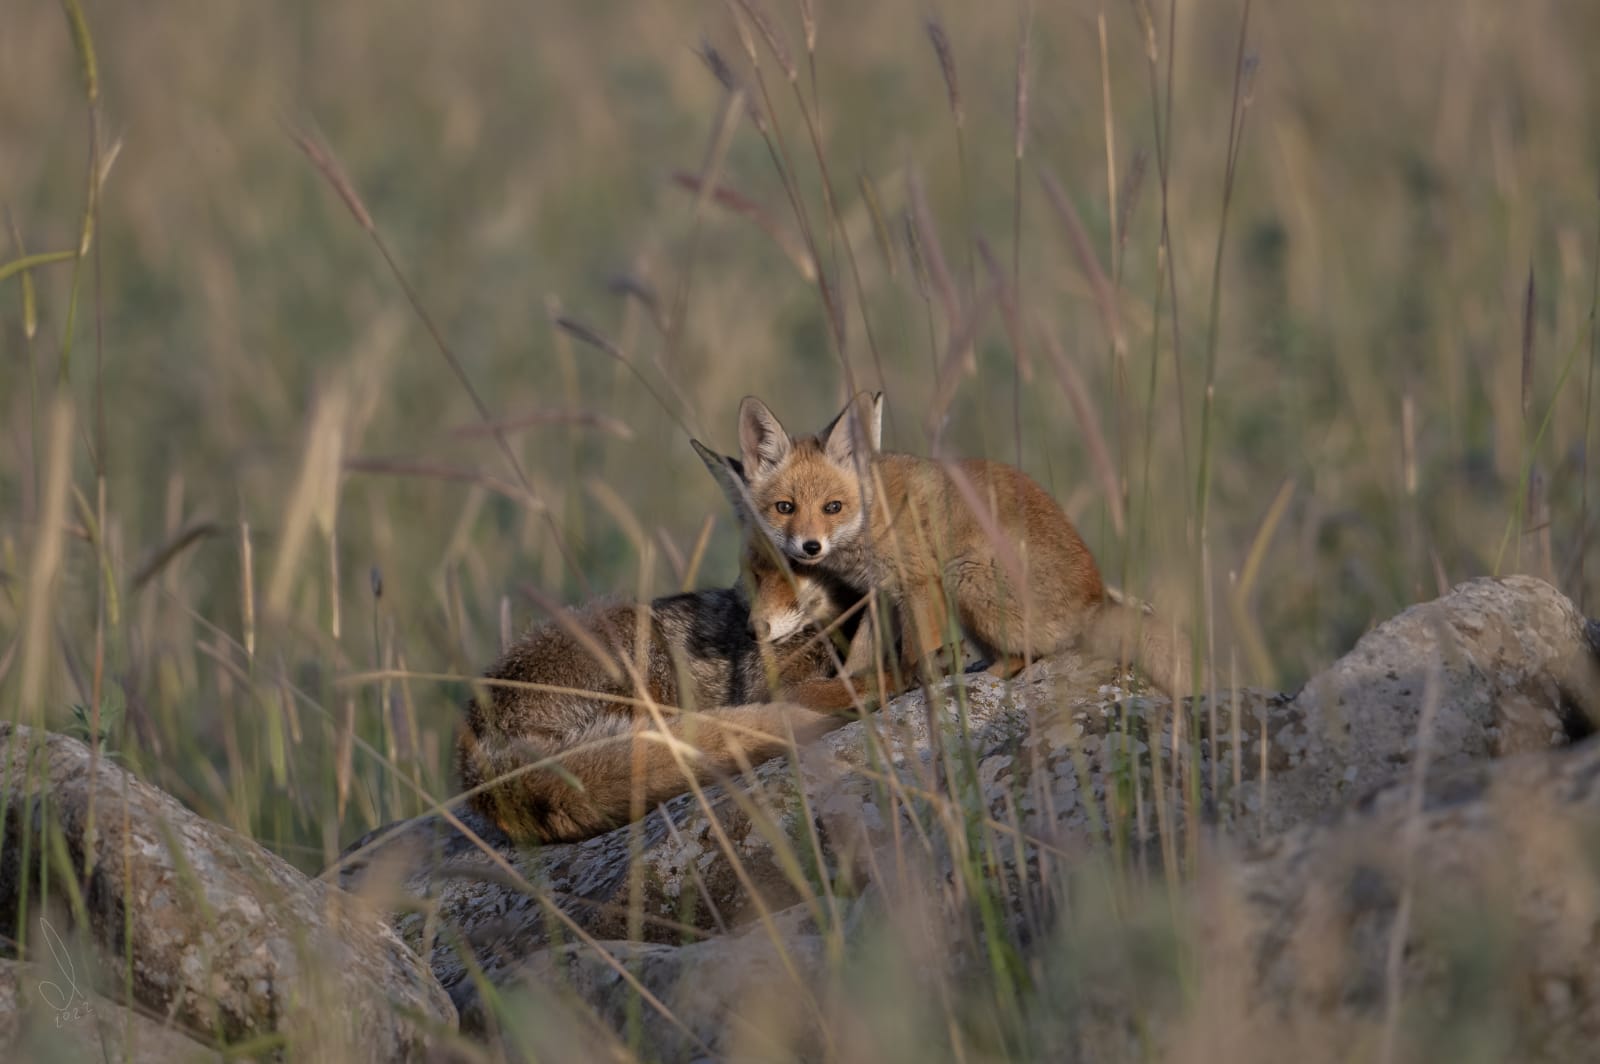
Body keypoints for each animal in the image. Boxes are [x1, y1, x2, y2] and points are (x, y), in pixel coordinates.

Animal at [732, 390, 1196, 697]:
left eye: (833, 507)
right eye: (785, 507)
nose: (809, 547)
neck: (875, 515)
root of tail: (1097, 600)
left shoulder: (920, 586)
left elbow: (915, 653)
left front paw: (913, 685)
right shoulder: (882, 595)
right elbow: (862, 657)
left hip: (967, 580)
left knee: (1029, 655)